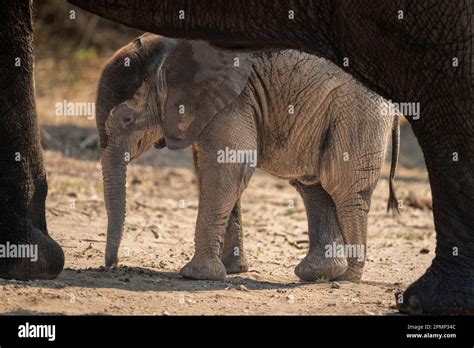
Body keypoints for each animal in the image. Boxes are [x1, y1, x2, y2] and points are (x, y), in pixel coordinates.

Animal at [97, 32, 400, 282]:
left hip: (358, 112)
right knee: (313, 185)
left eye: (127, 119)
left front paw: (196, 275)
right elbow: (213, 168)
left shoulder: (234, 98)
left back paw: (348, 277)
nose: (111, 266)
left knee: (342, 186)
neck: (165, 46)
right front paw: (232, 270)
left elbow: (227, 167)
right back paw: (318, 274)